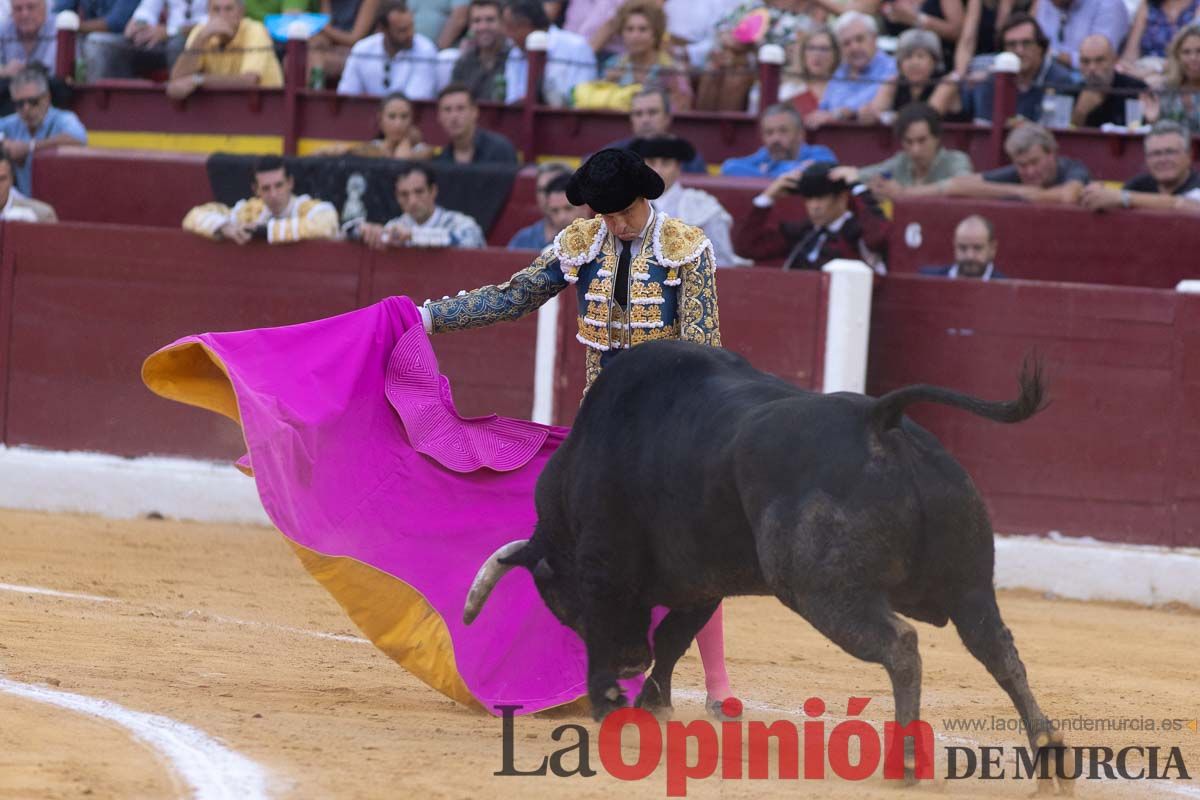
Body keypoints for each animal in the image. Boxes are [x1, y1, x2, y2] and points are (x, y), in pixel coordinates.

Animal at [458, 340, 1070, 786]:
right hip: (971, 584)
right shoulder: (704, 581)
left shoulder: (604, 565)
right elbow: (675, 637)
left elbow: (619, 631)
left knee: (901, 645)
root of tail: (877, 418)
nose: (632, 663)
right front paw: (653, 704)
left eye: (563, 604)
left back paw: (906, 762)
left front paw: (613, 705)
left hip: (821, 591)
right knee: (998, 649)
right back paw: (1048, 753)